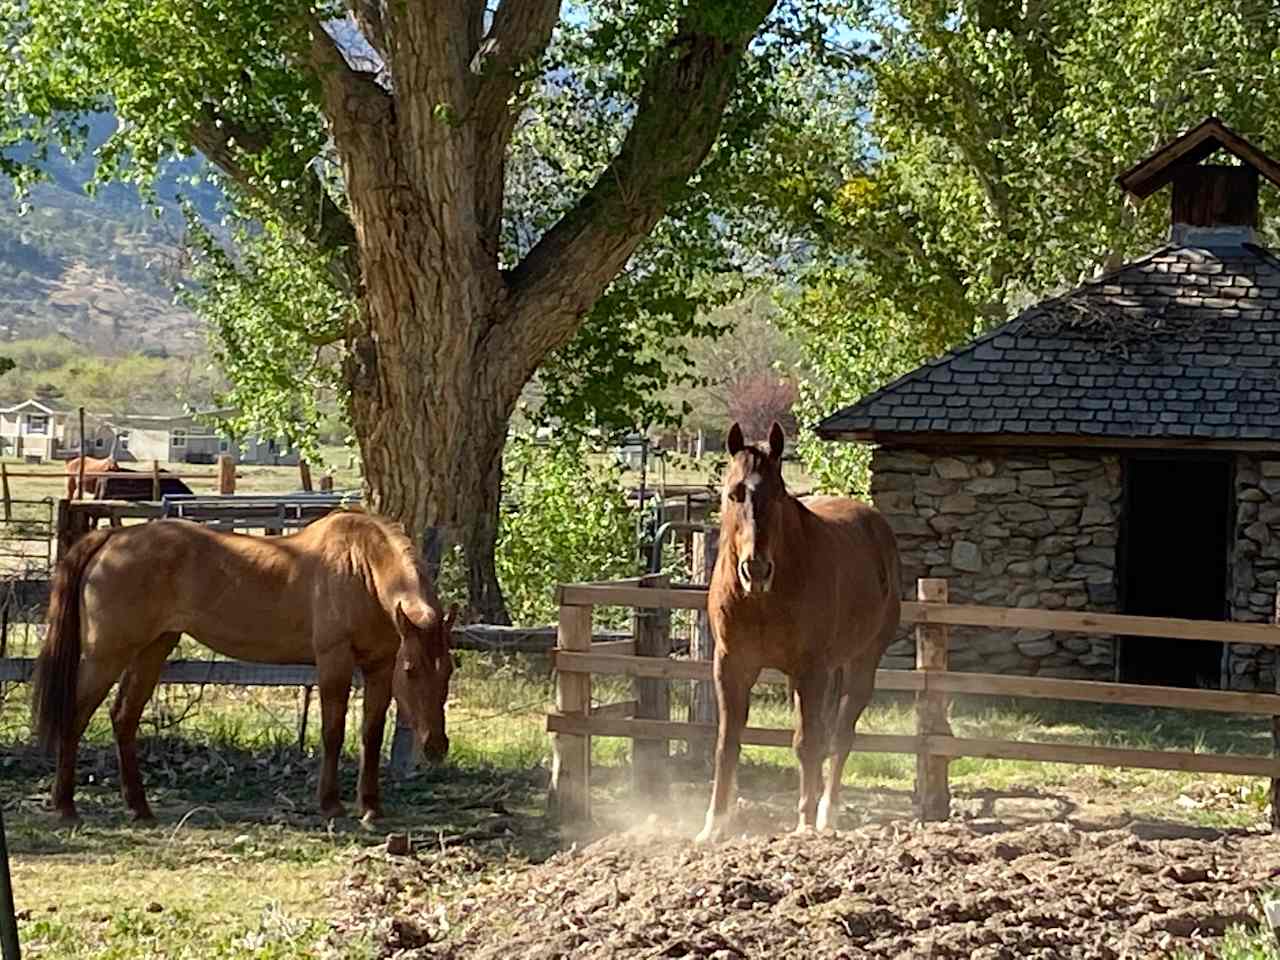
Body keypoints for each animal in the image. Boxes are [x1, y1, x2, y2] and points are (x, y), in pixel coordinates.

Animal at [31, 512, 460, 829]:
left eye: (449, 670)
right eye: (411, 669)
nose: (436, 746)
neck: (360, 568)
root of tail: (113, 537)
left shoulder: (379, 666)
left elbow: (371, 734)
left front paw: (370, 806)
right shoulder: (334, 661)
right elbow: (333, 732)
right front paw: (331, 804)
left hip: (153, 649)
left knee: (124, 718)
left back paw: (140, 807)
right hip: (106, 655)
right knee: (75, 715)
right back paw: (66, 805)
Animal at [701, 422, 901, 839]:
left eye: (778, 495)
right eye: (734, 492)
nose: (756, 569)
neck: (763, 598)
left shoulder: (812, 670)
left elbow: (809, 743)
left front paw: (805, 824)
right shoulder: (731, 666)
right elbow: (728, 743)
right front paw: (713, 825)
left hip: (860, 664)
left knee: (839, 736)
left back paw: (826, 813)